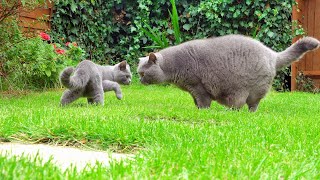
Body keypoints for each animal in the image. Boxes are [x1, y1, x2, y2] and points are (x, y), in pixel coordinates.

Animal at [138, 34, 320, 111]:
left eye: (142, 74)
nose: (139, 80)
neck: (175, 65)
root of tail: (272, 54)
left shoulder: (198, 86)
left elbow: (203, 102)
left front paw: (202, 111)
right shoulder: (192, 90)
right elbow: (196, 101)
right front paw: (196, 109)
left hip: (247, 90)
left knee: (250, 105)